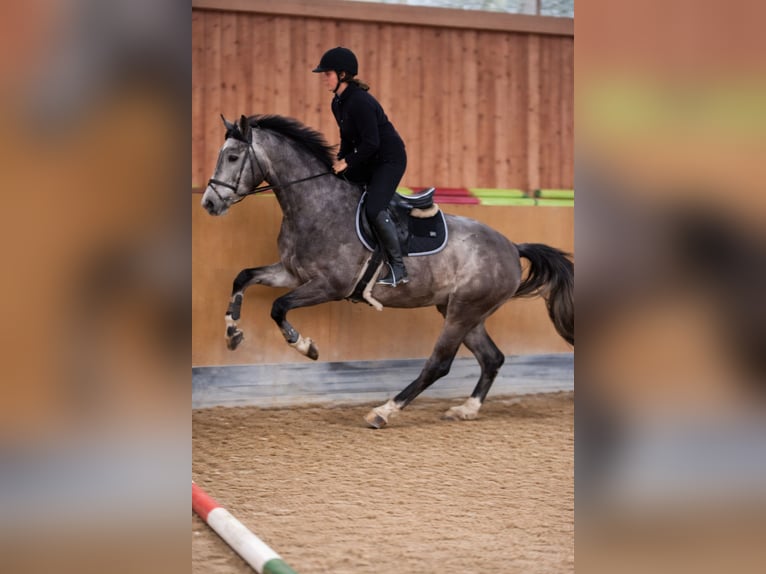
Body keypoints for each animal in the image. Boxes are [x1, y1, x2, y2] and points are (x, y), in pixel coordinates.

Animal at [201, 114, 573, 428]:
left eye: (232, 157)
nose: (209, 203)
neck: (316, 205)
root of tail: (511, 247)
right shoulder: (292, 273)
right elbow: (244, 277)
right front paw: (232, 333)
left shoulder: (330, 285)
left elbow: (278, 307)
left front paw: (305, 346)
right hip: (462, 312)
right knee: (492, 358)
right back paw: (465, 409)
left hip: (463, 312)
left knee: (439, 364)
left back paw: (384, 411)